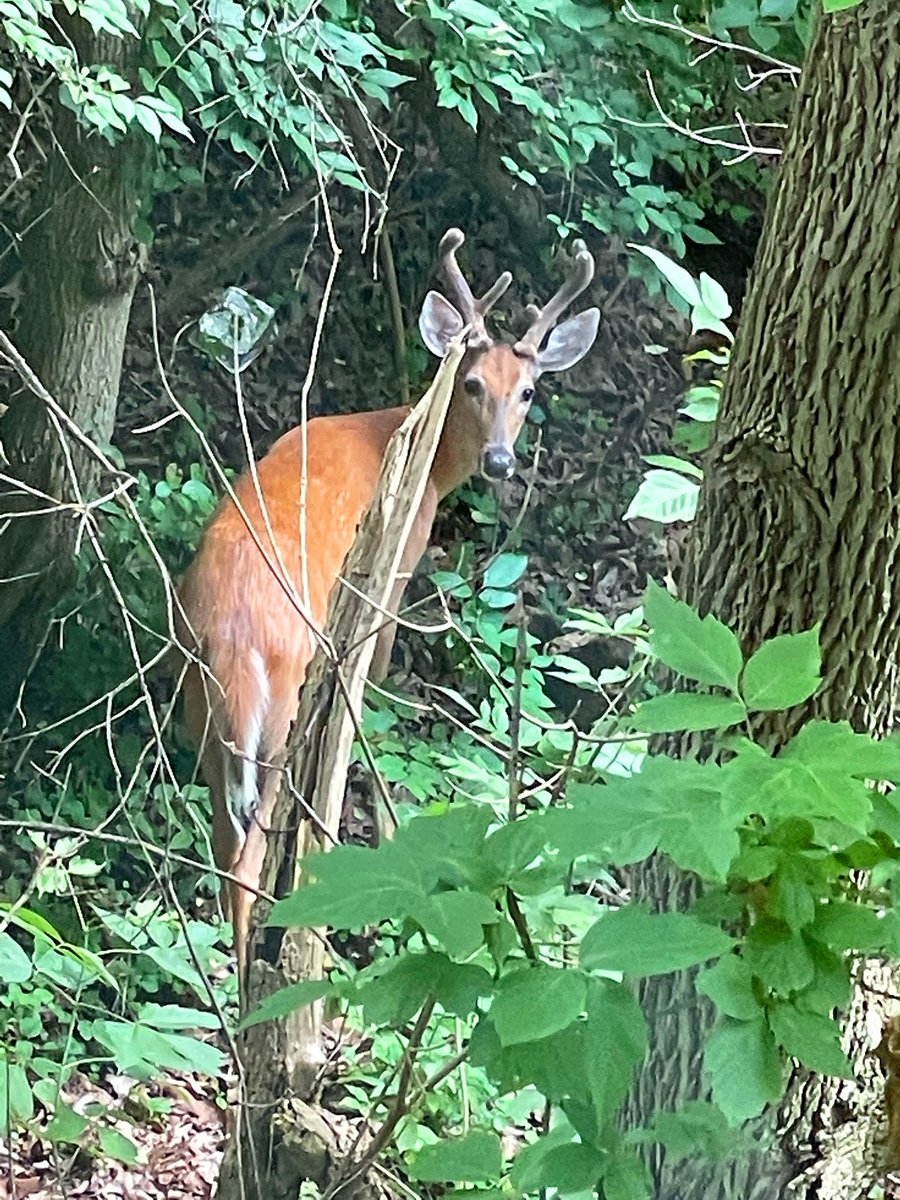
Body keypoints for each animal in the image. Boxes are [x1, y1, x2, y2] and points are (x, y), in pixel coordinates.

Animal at [174, 226, 602, 984]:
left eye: (527, 390)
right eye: (471, 384)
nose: (499, 461)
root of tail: (232, 642)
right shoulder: (399, 557)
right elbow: (375, 664)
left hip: (203, 713)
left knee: (224, 843)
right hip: (279, 713)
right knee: (249, 855)